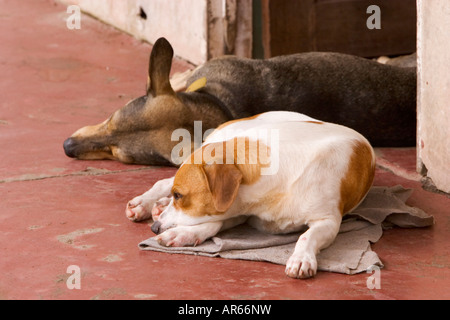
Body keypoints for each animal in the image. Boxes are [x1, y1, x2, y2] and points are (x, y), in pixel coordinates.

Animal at [125, 111, 374, 278]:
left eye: (179, 196)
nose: (154, 228)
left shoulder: (328, 221)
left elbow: (307, 236)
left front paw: (301, 257)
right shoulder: (242, 211)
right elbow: (213, 223)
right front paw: (183, 233)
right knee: (163, 181)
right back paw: (146, 203)